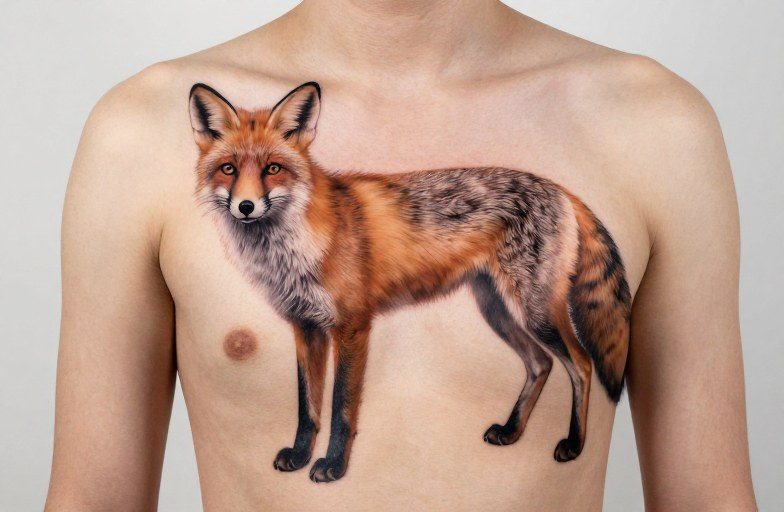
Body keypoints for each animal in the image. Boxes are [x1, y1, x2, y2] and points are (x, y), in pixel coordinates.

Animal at [188, 81, 631, 483]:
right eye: (228, 169)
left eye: (272, 169)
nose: (246, 206)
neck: (291, 250)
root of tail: (561, 189)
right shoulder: (305, 326)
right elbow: (306, 406)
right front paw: (299, 457)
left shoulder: (352, 326)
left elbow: (341, 408)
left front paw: (333, 466)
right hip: (496, 310)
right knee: (540, 363)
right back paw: (511, 431)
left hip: (535, 312)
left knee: (582, 364)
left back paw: (574, 445)